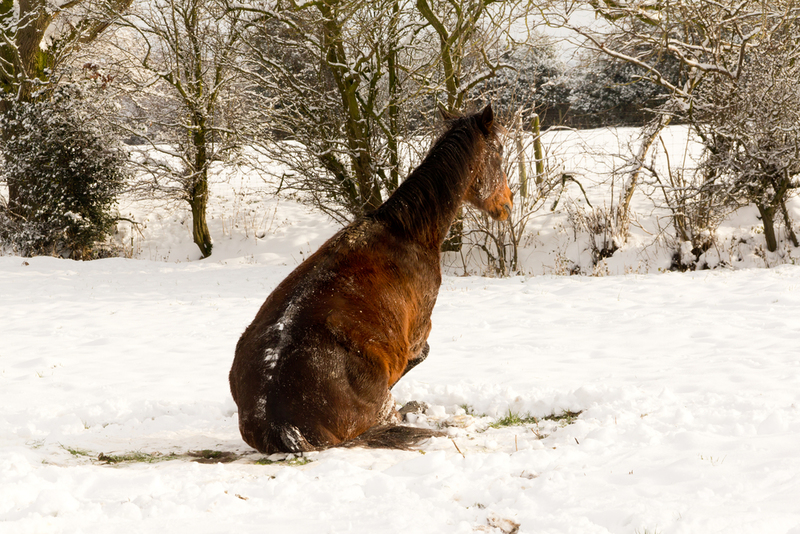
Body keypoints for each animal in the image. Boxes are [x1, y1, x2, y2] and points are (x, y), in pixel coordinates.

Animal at [228, 105, 512, 456]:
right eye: (499, 151)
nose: (507, 203)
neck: (408, 233)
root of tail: (278, 421)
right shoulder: (416, 334)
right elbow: (420, 356)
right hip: (380, 405)